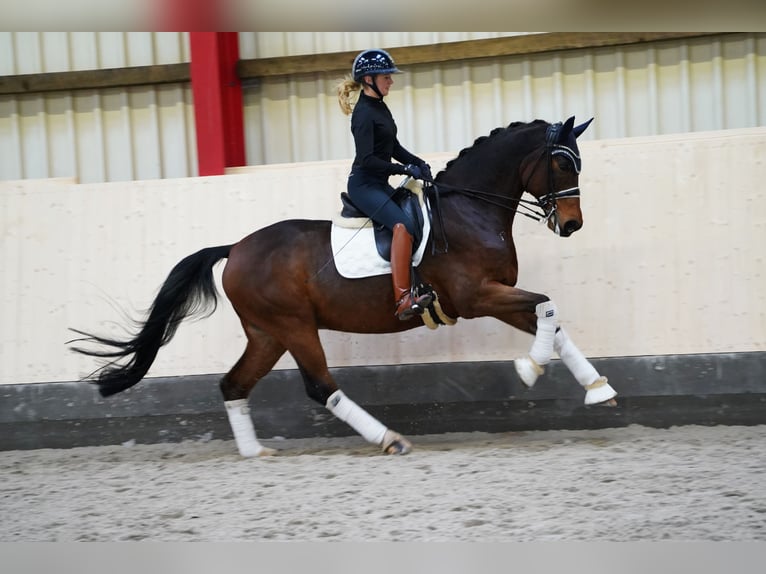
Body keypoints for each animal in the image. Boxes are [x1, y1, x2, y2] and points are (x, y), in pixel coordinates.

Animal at [69, 116, 620, 460]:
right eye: (562, 163)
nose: (572, 224)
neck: (471, 208)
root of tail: (235, 248)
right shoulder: (475, 296)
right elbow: (547, 307)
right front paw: (529, 370)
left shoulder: (496, 294)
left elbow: (552, 319)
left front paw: (598, 389)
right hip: (294, 326)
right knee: (320, 386)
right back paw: (390, 439)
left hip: (267, 333)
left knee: (234, 384)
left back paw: (255, 451)